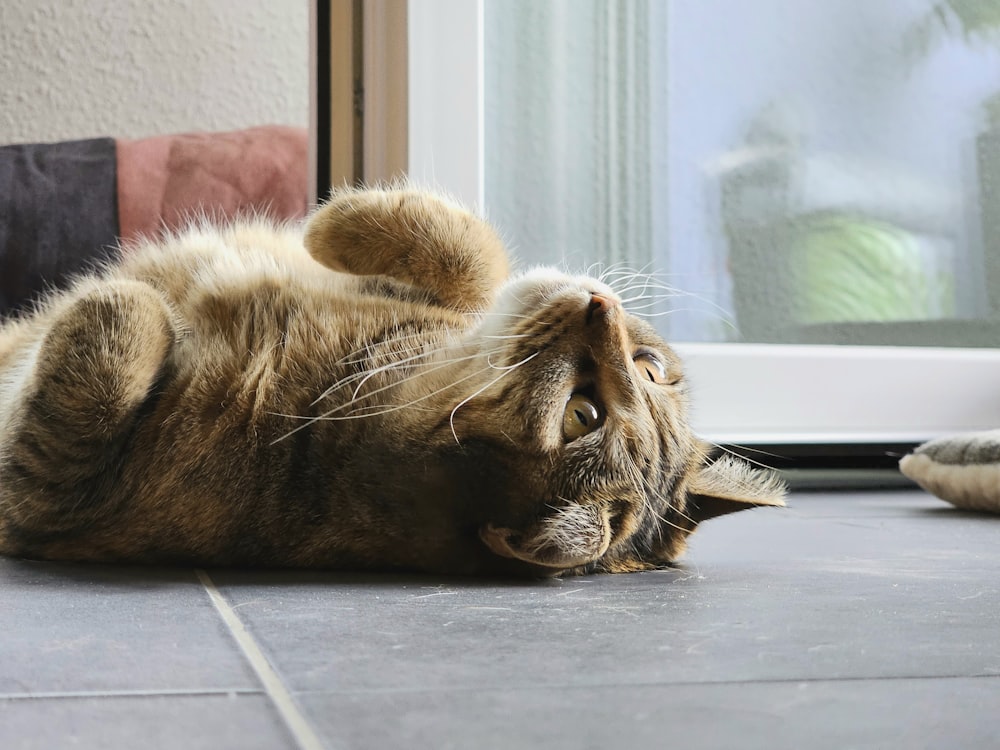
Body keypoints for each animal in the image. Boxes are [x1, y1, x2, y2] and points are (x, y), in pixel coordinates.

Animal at [0, 187, 784, 576]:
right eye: (650, 368)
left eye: (581, 416)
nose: (603, 306)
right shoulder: (449, 304)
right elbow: (471, 254)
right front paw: (339, 220)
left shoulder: (43, 494)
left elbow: (118, 339)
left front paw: (130, 303)